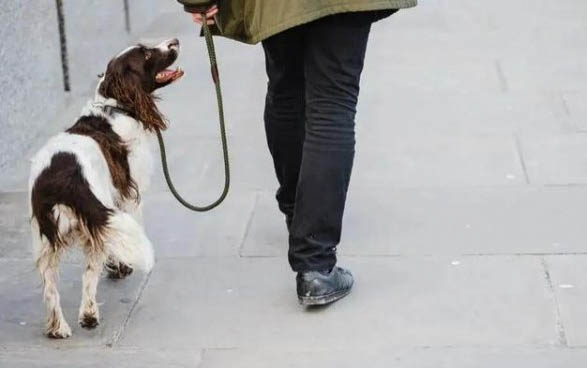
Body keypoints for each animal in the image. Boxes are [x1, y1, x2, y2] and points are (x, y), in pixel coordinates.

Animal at [27, 38, 183, 338]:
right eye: (146, 54)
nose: (175, 41)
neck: (115, 106)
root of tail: (61, 181)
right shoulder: (128, 194)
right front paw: (121, 267)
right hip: (92, 218)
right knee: (89, 276)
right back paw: (88, 315)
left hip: (45, 241)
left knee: (50, 287)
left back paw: (58, 328)